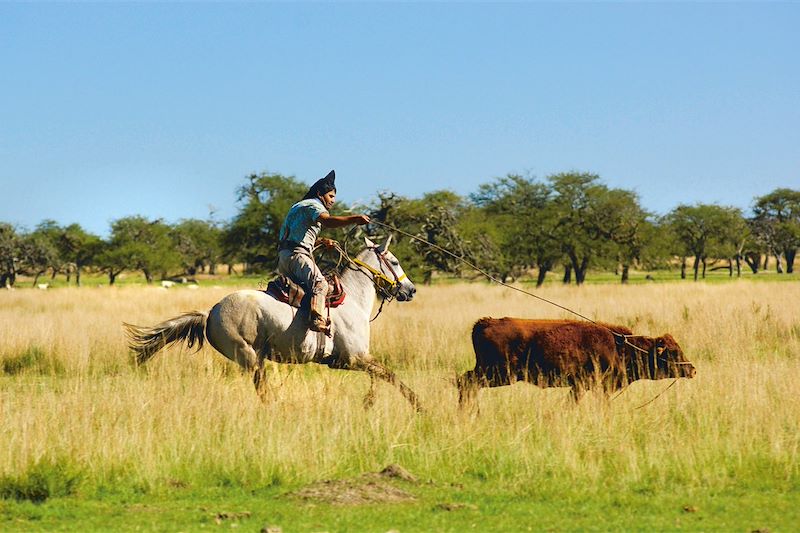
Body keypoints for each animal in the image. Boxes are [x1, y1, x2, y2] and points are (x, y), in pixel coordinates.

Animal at [125, 236, 422, 408]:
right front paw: (418, 405)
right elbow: (389, 375)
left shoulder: (348, 361)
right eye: (394, 261)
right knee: (264, 392)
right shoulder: (355, 358)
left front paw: (371, 402)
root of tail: (210, 313)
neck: (352, 300)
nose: (410, 290)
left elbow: (381, 376)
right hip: (250, 358)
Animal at [460, 318, 696, 406]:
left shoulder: (579, 386)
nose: (692, 370)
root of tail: (484, 323)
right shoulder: (592, 386)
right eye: (673, 352)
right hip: (498, 374)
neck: (619, 347)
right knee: (466, 383)